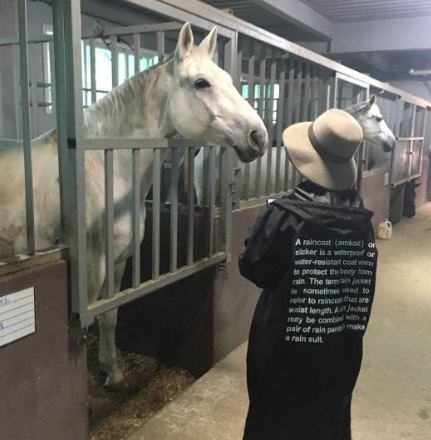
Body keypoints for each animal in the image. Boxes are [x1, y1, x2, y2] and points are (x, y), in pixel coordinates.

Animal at [0, 23, 270, 388]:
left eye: (229, 79)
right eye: (201, 83)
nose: (259, 136)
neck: (106, 168)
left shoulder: (117, 262)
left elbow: (111, 316)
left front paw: (114, 374)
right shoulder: (91, 269)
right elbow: (87, 325)